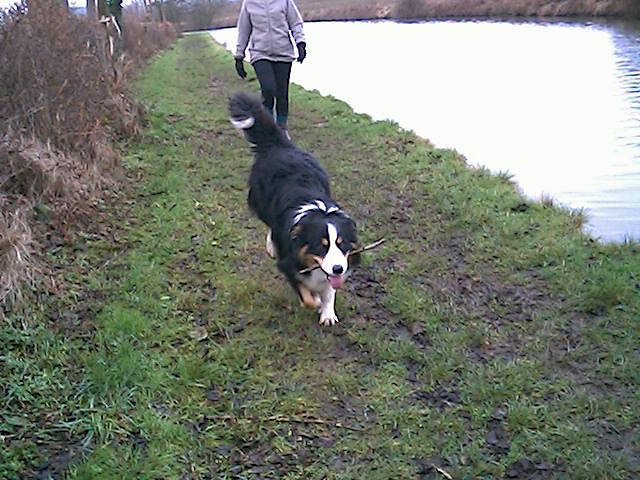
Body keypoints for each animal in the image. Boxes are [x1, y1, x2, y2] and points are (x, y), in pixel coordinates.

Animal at [230, 91, 360, 326]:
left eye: (342, 243)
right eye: (321, 246)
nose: (338, 268)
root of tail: (280, 145)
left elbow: (329, 289)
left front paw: (328, 312)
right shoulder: (288, 263)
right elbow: (305, 294)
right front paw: (315, 301)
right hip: (260, 203)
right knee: (269, 225)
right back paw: (271, 245)